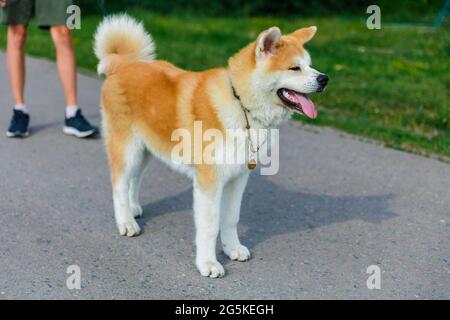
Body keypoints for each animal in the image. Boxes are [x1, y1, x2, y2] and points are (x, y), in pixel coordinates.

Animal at [94, 14, 326, 278]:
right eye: (294, 68)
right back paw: (125, 222)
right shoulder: (210, 183)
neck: (241, 104)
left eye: (310, 65)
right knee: (119, 185)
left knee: (134, 180)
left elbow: (231, 218)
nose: (324, 79)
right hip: (127, 149)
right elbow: (210, 226)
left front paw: (232, 248)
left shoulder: (238, 178)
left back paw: (133, 210)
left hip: (146, 150)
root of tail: (123, 65)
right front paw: (207, 263)